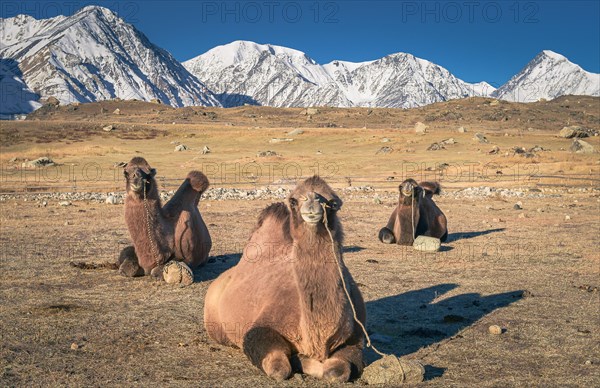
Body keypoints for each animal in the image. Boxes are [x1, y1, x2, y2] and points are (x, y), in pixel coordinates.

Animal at [203, 176, 366, 382]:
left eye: (333, 203)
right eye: (294, 201)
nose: (311, 200)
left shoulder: (356, 339)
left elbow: (337, 372)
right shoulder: (259, 329)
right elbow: (279, 368)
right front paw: (299, 359)